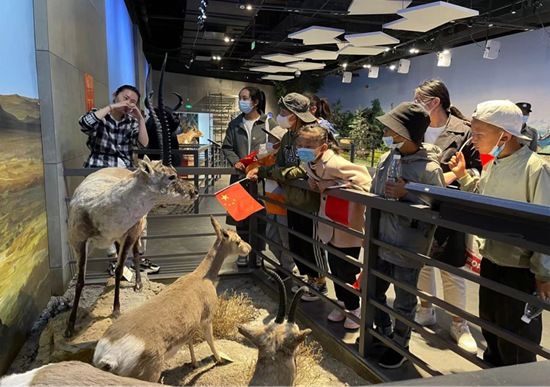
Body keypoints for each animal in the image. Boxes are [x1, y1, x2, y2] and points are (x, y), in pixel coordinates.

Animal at [65, 54, 197, 340]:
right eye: (170, 176)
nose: (193, 191)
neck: (101, 207)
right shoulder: (79, 242)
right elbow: (80, 280)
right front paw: (69, 326)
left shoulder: (128, 233)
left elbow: (119, 268)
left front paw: (115, 310)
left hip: (135, 231)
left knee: (136, 253)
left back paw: (137, 283)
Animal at [93, 217, 252, 384]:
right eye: (238, 240)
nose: (250, 247)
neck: (201, 277)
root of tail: (108, 357)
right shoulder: (207, 320)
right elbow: (210, 340)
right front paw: (219, 360)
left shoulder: (190, 327)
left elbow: (189, 341)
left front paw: (194, 363)